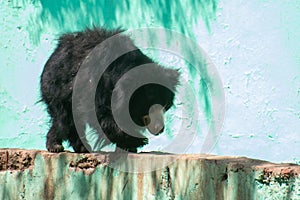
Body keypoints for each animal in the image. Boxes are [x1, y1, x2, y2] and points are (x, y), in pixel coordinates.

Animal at [41, 27, 179, 153]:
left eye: (165, 105)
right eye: (148, 106)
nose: (159, 129)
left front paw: (129, 145)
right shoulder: (97, 84)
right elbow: (101, 114)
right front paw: (137, 140)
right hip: (58, 88)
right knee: (64, 119)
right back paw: (56, 146)